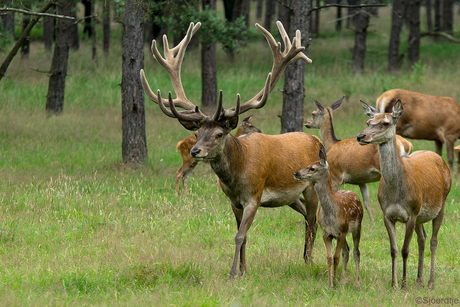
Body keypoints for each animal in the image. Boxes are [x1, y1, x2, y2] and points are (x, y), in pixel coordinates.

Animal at [141, 20, 324, 278]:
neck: (237, 174)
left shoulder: (253, 197)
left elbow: (239, 236)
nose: (195, 151)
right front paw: (243, 271)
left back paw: (308, 260)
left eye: (219, 134)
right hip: (290, 196)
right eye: (196, 133)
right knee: (307, 217)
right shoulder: (233, 201)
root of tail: (317, 140)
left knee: (313, 220)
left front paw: (231, 274)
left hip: (311, 186)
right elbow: (242, 236)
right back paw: (305, 257)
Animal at [294, 147, 362, 288]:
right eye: (307, 165)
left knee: (356, 251)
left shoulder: (342, 231)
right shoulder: (327, 233)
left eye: (312, 168)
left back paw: (358, 282)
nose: (296, 173)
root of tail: (354, 193)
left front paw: (334, 282)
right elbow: (330, 258)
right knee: (347, 250)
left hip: (357, 227)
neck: (331, 215)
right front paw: (331, 283)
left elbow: (336, 257)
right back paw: (342, 280)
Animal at [358, 101, 452, 292]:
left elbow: (405, 249)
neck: (396, 193)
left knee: (433, 240)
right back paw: (419, 280)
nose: (361, 136)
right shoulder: (387, 215)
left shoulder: (411, 213)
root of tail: (439, 158)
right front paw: (394, 283)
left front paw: (403, 284)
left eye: (385, 123)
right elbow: (393, 249)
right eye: (368, 122)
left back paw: (430, 282)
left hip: (441, 205)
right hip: (421, 215)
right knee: (422, 239)